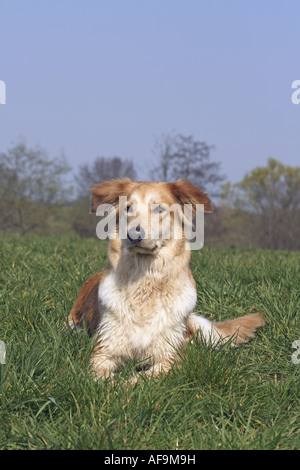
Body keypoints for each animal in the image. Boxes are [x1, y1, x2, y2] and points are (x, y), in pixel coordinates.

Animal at [68, 178, 264, 380]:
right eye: (128, 208)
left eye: (158, 209)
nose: (134, 235)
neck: (146, 283)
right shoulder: (103, 350)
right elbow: (100, 378)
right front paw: (112, 384)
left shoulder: (170, 358)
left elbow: (141, 379)